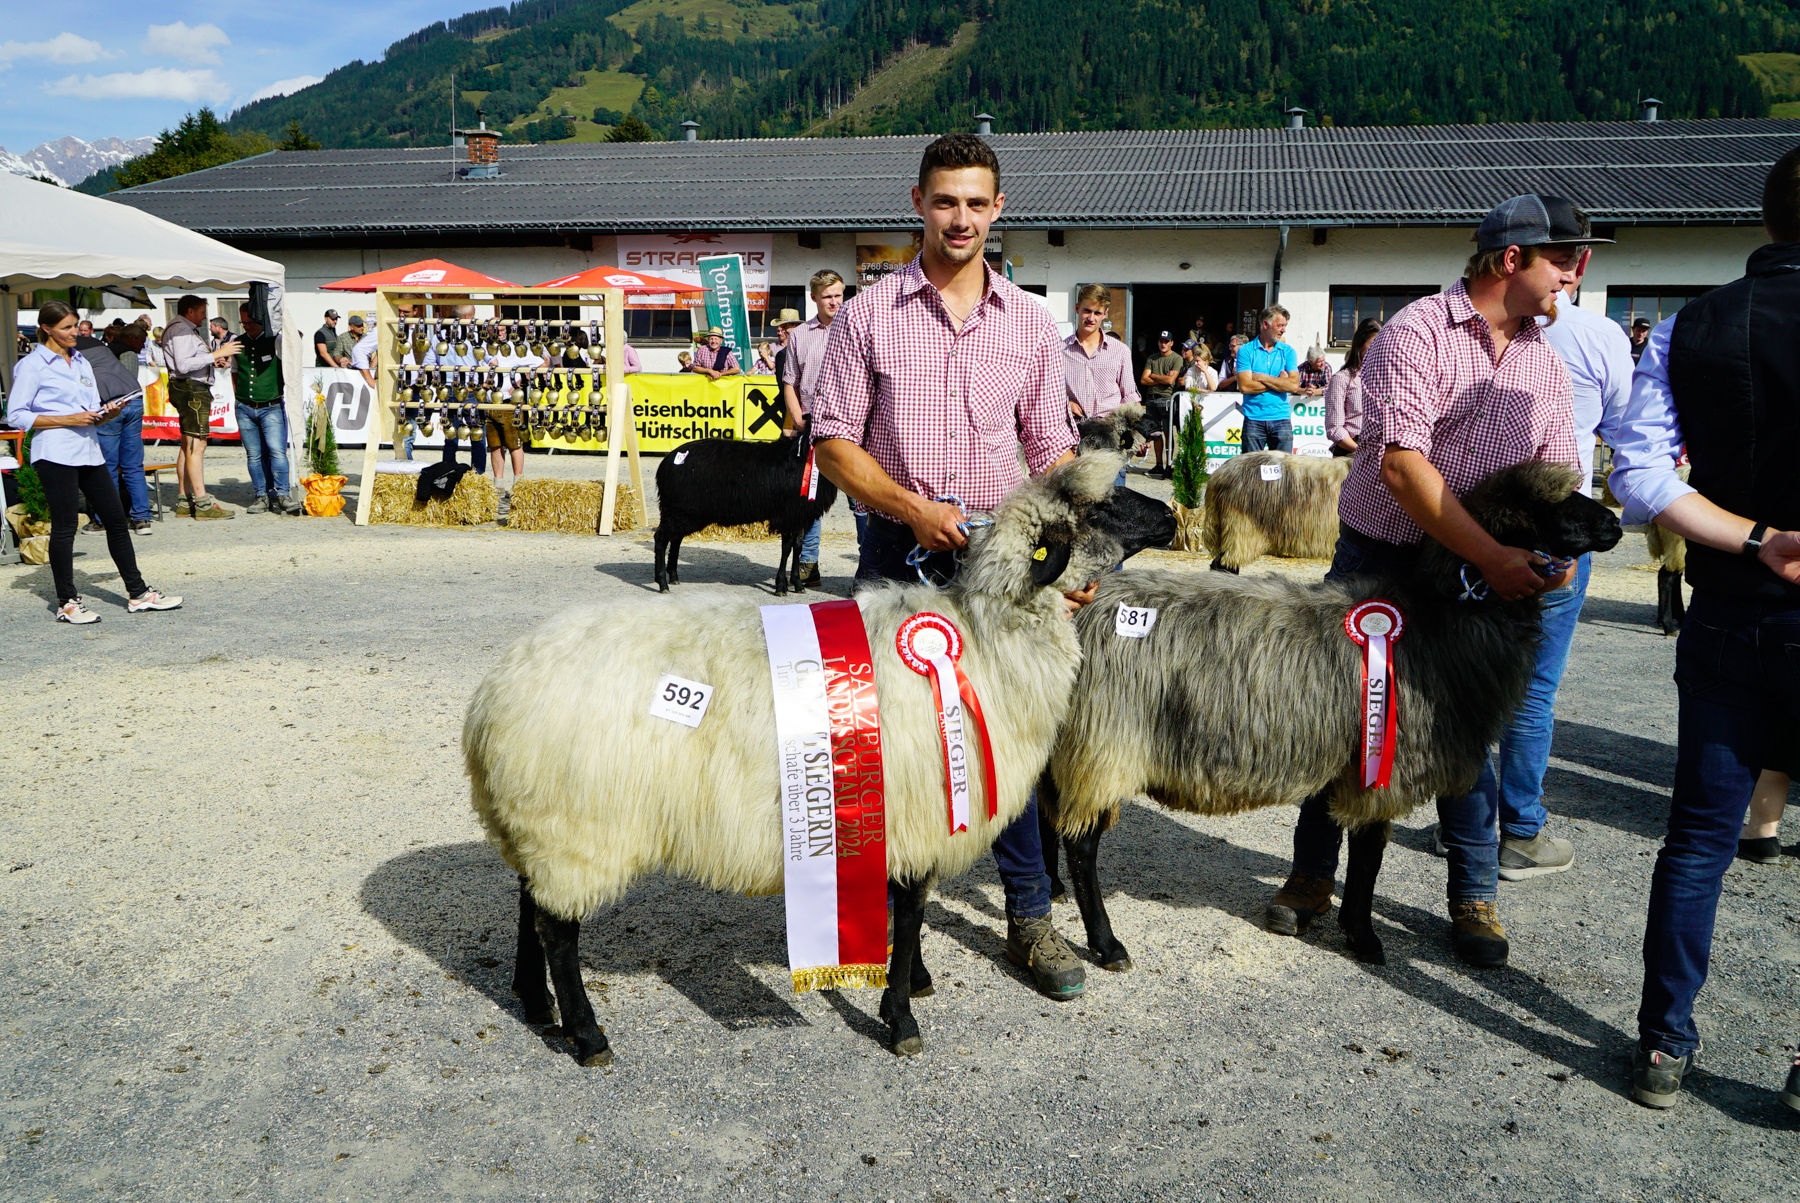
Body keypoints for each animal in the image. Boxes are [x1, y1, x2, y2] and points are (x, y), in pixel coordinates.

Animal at [655, 437, 835, 597]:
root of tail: (666, 464)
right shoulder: (787, 515)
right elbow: (787, 548)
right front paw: (781, 586)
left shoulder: (800, 517)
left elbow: (797, 547)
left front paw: (797, 584)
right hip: (680, 510)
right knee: (661, 538)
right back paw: (662, 583)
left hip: (682, 512)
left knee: (675, 539)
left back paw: (673, 577)